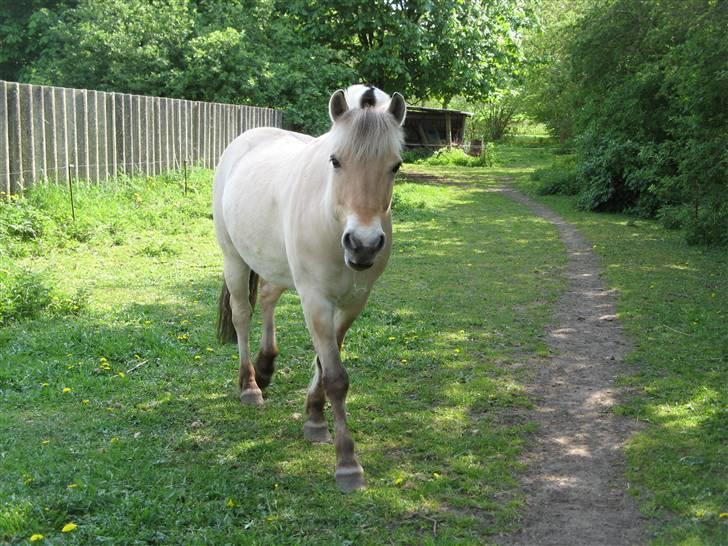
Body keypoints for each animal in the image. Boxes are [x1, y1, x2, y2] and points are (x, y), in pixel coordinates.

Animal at [213, 84, 406, 488]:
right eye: (335, 160)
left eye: (395, 165)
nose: (363, 245)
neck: (331, 220)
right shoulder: (316, 300)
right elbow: (334, 376)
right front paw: (347, 462)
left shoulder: (354, 302)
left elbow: (325, 361)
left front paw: (314, 418)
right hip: (233, 259)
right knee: (242, 316)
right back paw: (249, 385)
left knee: (267, 298)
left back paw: (266, 367)